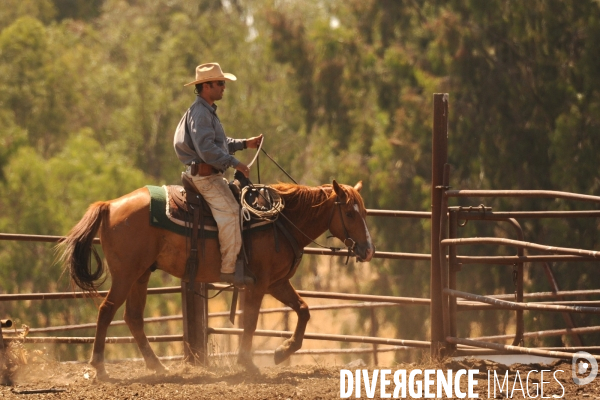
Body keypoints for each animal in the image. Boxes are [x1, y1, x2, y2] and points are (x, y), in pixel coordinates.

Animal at [58, 180, 372, 380]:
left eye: (365, 212)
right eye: (349, 213)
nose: (368, 250)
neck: (281, 221)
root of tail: (110, 205)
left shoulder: (277, 283)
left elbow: (304, 311)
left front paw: (282, 352)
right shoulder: (259, 284)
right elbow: (251, 321)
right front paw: (247, 362)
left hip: (141, 275)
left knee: (133, 318)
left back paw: (157, 366)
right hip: (126, 275)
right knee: (106, 311)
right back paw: (100, 367)